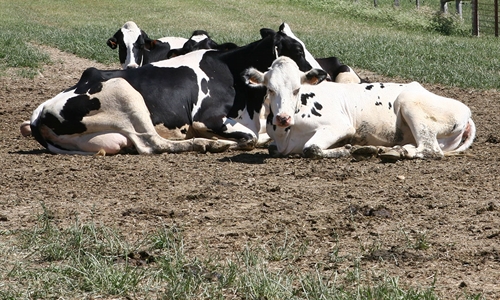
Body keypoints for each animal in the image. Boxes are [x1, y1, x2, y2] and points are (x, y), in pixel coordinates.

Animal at [24, 25, 316, 155]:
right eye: (297, 49)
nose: (322, 72)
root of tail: (40, 112)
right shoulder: (206, 118)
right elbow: (251, 137)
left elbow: (261, 135)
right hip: (125, 91)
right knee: (153, 143)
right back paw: (207, 143)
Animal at [243, 55, 476, 159]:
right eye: (270, 89)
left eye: (296, 89)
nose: (283, 118)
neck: (285, 135)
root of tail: (466, 112)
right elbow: (272, 148)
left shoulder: (340, 125)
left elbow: (311, 148)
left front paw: (344, 149)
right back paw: (385, 149)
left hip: (411, 105)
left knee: (431, 150)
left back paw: (396, 152)